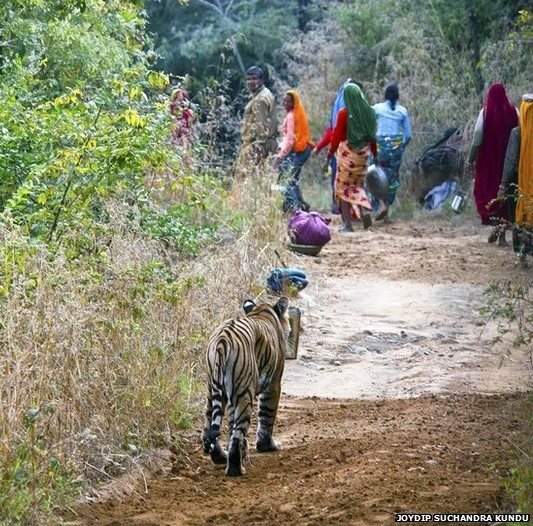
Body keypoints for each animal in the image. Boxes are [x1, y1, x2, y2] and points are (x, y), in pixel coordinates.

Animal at [202, 296, 288, 478]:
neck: (262, 311)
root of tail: (222, 339)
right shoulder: (274, 383)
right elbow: (267, 415)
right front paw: (267, 446)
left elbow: (231, 424)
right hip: (244, 394)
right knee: (237, 433)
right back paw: (236, 469)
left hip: (212, 389)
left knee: (208, 428)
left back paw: (220, 457)